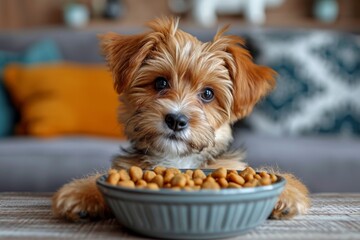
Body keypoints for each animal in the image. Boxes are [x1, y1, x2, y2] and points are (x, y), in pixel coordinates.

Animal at [51, 17, 310, 222]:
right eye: (160, 82)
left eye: (208, 94)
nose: (176, 120)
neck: (177, 159)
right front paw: (81, 192)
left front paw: (289, 193)